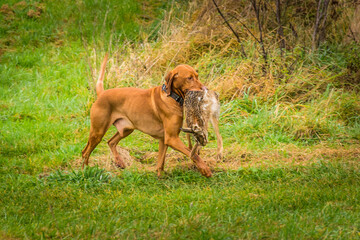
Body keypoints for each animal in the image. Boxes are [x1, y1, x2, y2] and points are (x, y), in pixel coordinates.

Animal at [82, 54, 212, 178]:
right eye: (189, 78)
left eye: (197, 76)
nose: (206, 89)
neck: (172, 97)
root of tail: (102, 94)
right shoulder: (172, 138)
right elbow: (194, 154)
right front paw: (205, 169)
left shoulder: (164, 139)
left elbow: (161, 162)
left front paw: (160, 177)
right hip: (98, 132)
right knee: (85, 152)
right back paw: (85, 171)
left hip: (126, 129)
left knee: (110, 142)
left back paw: (119, 161)